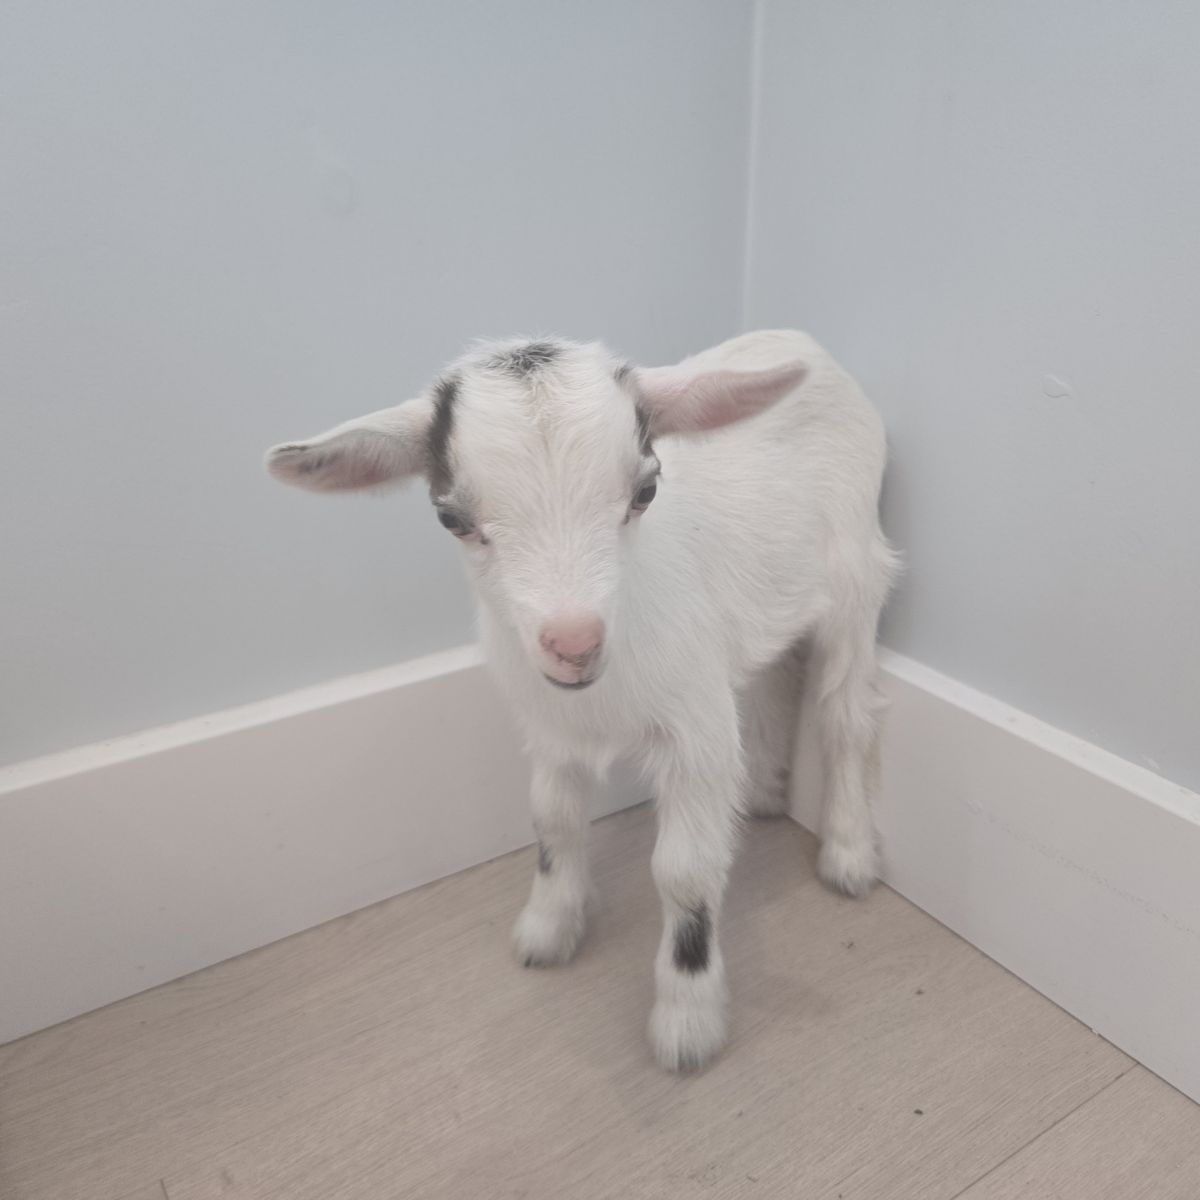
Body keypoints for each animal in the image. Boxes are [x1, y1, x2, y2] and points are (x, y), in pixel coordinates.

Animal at [266, 330, 898, 1071]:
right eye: (451, 517)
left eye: (646, 490)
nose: (575, 645)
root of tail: (799, 341)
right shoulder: (548, 725)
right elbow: (553, 819)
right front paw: (548, 927)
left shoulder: (696, 730)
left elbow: (684, 871)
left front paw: (687, 1021)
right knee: (772, 669)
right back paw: (767, 789)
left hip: (857, 574)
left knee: (845, 713)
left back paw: (849, 854)